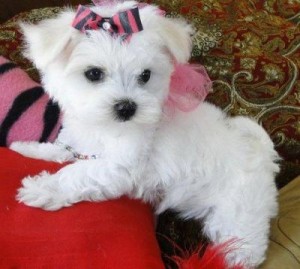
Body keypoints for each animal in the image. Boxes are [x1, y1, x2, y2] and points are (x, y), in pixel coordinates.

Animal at [10, 1, 280, 266]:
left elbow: (79, 173)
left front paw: (44, 188)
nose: (127, 107)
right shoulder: (83, 143)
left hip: (239, 214)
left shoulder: (121, 166)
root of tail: (262, 153)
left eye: (145, 75)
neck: (104, 127)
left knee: (242, 244)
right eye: (94, 73)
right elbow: (65, 149)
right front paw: (29, 148)